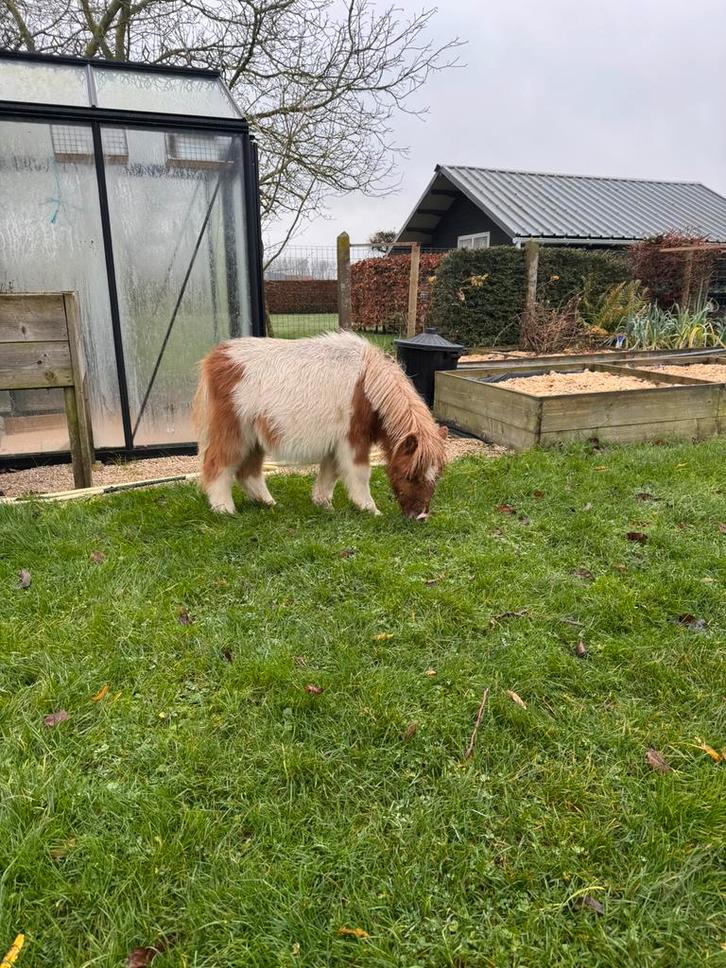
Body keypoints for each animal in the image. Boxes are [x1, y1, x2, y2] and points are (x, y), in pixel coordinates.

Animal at [194, 331, 448, 519]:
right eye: (410, 476)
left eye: (436, 478)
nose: (420, 517)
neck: (368, 385)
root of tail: (217, 356)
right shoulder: (353, 439)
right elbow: (360, 473)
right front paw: (370, 509)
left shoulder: (337, 442)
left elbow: (330, 472)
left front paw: (323, 504)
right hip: (234, 431)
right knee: (217, 464)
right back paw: (224, 509)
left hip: (254, 437)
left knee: (248, 471)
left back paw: (268, 503)